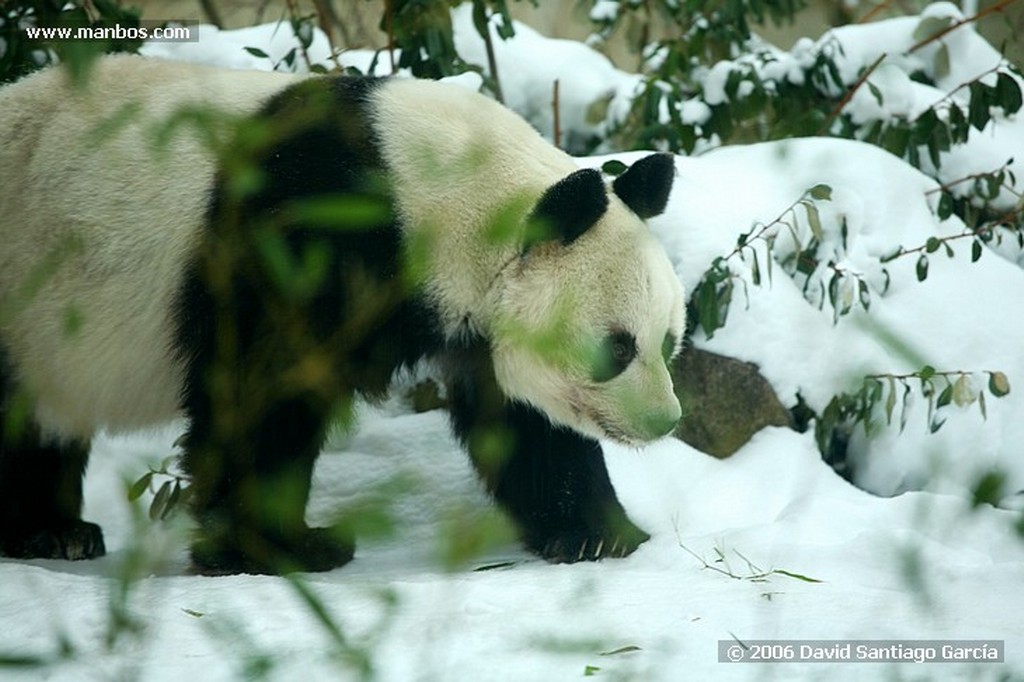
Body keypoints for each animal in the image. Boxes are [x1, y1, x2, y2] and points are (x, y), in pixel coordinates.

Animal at [2, 54, 688, 573]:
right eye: (618, 347)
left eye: (668, 341)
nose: (665, 422)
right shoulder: (304, 237)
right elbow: (263, 393)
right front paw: (282, 549)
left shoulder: (472, 316)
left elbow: (525, 420)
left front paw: (598, 533)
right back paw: (51, 533)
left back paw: (53, 529)